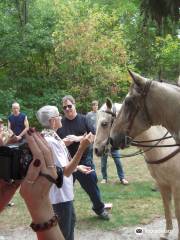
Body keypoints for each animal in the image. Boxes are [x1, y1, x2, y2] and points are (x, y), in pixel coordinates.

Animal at [93, 98, 180, 240]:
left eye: (104, 123)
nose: (96, 149)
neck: (164, 146)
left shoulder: (176, 185)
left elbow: (177, 213)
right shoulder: (163, 184)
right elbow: (167, 209)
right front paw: (166, 234)